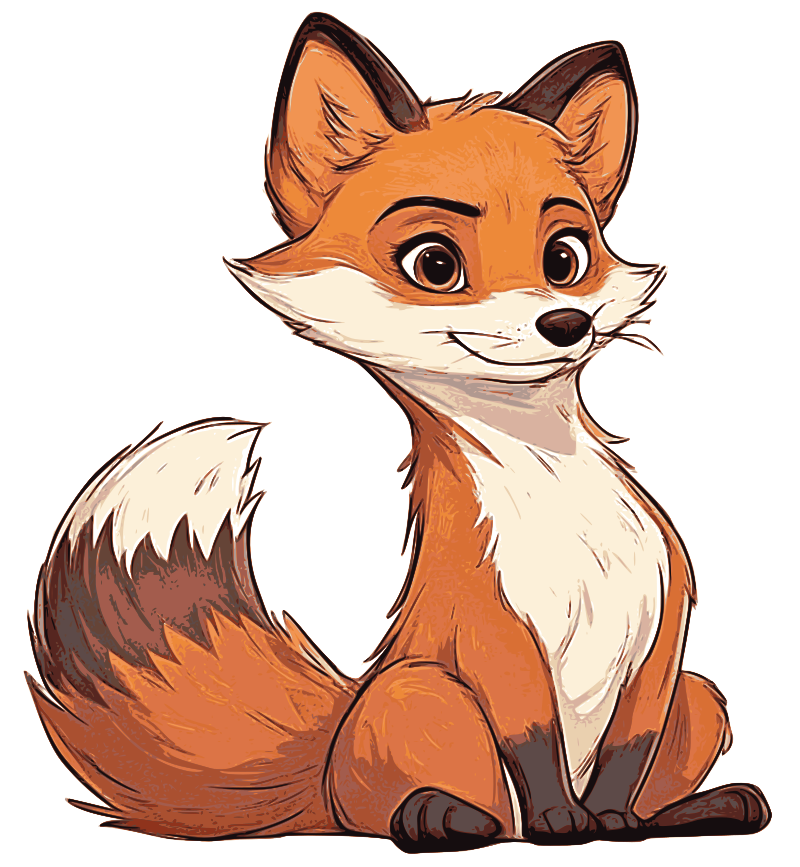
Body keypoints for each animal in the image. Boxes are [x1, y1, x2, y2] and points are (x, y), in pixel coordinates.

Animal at [27, 12, 771, 852]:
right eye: (435, 263)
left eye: (565, 256)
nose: (564, 323)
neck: (563, 508)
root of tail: (325, 754)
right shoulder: (490, 628)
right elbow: (533, 742)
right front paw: (562, 823)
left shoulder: (664, 626)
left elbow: (628, 755)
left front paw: (613, 822)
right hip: (419, 692)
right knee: (419, 810)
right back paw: (445, 818)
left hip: (700, 695)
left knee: (662, 754)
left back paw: (698, 809)